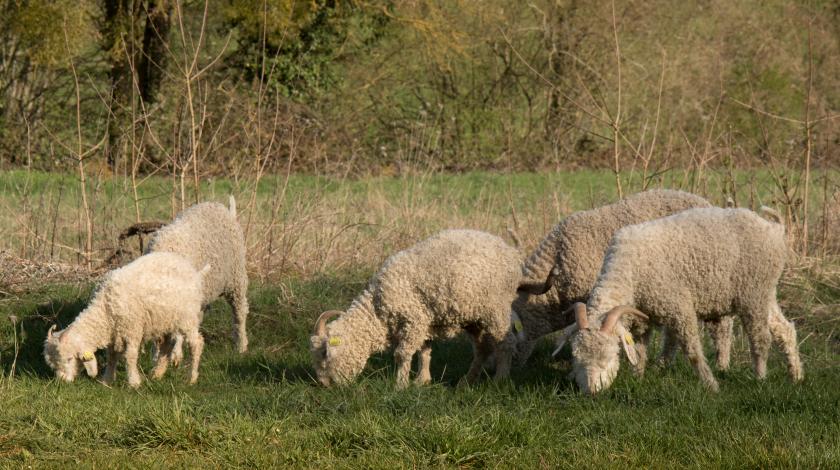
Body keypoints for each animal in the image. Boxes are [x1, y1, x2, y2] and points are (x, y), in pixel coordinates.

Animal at [44, 252, 208, 388]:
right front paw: (107, 381)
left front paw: (134, 383)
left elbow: (130, 357)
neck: (105, 308)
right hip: (164, 321)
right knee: (166, 346)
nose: (62, 381)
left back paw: (191, 378)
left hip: (187, 318)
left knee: (196, 344)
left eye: (69, 359)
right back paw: (157, 374)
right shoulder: (113, 333)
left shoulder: (132, 329)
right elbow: (111, 357)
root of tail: (193, 270)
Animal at [310, 229, 520, 388]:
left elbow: (403, 353)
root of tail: (510, 251)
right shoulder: (424, 321)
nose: (324, 385)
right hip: (474, 318)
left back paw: (499, 380)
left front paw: (400, 385)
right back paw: (467, 381)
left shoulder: (413, 319)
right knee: (482, 349)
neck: (377, 309)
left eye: (325, 354)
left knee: (506, 343)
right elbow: (424, 351)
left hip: (496, 309)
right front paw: (422, 380)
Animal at [560, 207, 804, 392]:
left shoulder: (678, 307)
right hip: (766, 293)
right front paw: (639, 377)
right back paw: (796, 376)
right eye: (576, 358)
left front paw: (710, 385)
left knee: (760, 338)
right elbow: (639, 351)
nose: (591, 392)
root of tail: (775, 228)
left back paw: (760, 377)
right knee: (784, 329)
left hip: (753, 294)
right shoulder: (642, 317)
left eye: (608, 356)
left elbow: (693, 350)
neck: (629, 268)